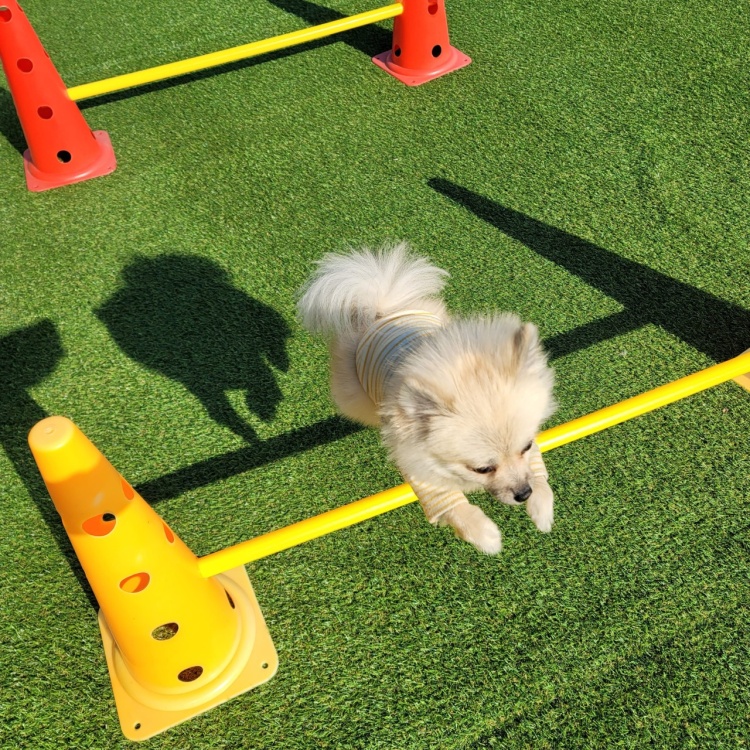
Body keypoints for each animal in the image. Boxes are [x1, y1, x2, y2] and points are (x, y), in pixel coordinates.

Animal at [297, 242, 556, 554]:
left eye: (527, 446)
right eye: (482, 469)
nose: (522, 493)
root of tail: (382, 312)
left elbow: (538, 473)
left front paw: (541, 507)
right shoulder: (416, 462)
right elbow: (450, 503)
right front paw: (484, 535)